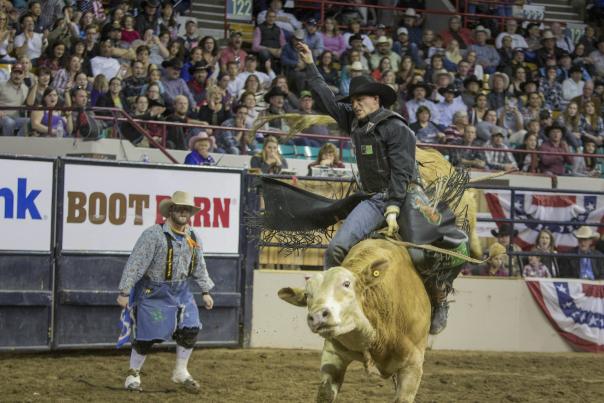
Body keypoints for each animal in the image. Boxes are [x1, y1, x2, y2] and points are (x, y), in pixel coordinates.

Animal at [278, 240, 430, 403]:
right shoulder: (333, 354)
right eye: (307, 295)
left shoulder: (412, 367)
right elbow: (325, 393)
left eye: (346, 284)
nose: (318, 316)